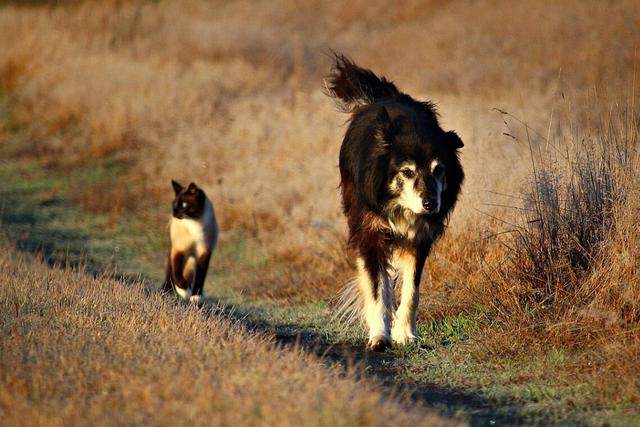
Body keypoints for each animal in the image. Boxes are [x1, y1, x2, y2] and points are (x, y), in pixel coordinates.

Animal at [328, 55, 462, 352]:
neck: (401, 208)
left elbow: (412, 289)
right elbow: (377, 288)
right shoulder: (371, 230)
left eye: (439, 170)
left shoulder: (419, 238)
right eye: (407, 172)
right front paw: (380, 337)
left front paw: (406, 335)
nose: (430, 204)